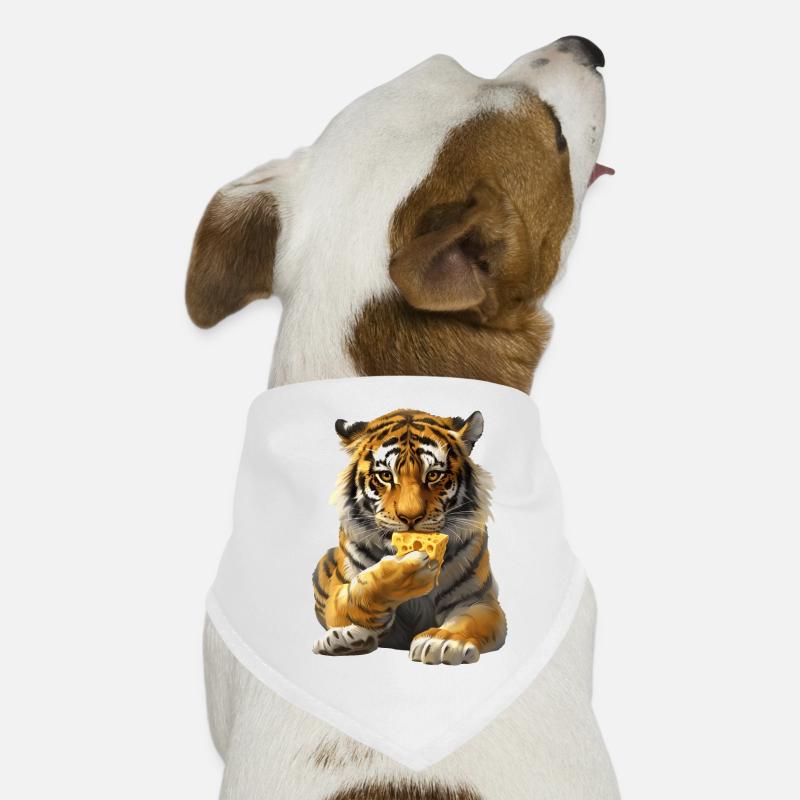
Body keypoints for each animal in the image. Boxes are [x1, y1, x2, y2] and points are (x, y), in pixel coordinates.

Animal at [312, 408, 507, 665]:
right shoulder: (338, 594)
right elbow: (358, 592)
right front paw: (402, 573)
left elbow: (468, 621)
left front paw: (443, 640)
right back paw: (344, 638)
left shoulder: (480, 601)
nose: (410, 517)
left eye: (433, 475)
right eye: (385, 476)